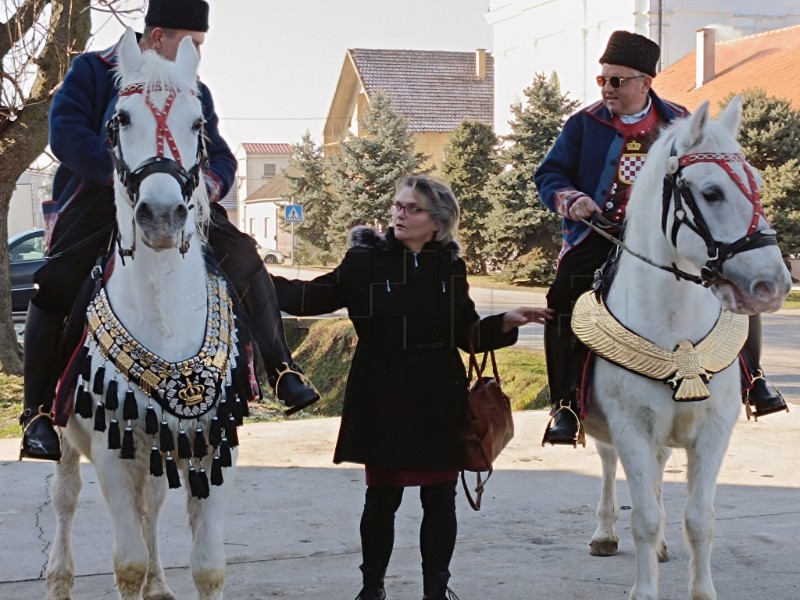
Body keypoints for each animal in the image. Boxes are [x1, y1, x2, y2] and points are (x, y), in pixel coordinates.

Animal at [47, 28, 253, 600]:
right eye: (121, 118)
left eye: (198, 122)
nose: (161, 216)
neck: (165, 317)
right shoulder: (112, 451)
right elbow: (128, 564)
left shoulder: (214, 447)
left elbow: (208, 567)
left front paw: (169, 578)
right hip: (71, 444)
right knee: (66, 499)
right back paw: (58, 579)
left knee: (152, 506)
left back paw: (161, 583)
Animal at [572, 98, 792, 600]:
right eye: (711, 193)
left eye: (758, 185)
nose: (774, 285)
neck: (675, 328)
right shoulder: (631, 426)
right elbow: (644, 518)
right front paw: (644, 588)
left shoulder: (714, 429)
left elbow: (700, 519)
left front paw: (701, 590)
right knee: (610, 467)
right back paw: (605, 533)